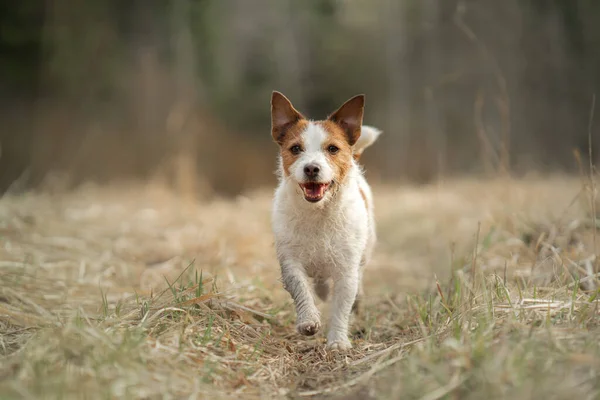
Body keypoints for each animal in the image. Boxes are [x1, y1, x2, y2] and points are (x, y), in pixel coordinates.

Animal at [270, 91, 382, 350]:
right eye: (296, 148)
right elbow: (300, 289)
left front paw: (338, 342)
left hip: (364, 254)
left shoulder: (347, 270)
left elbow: (342, 307)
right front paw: (308, 320)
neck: (319, 214)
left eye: (332, 148)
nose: (311, 168)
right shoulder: (290, 261)